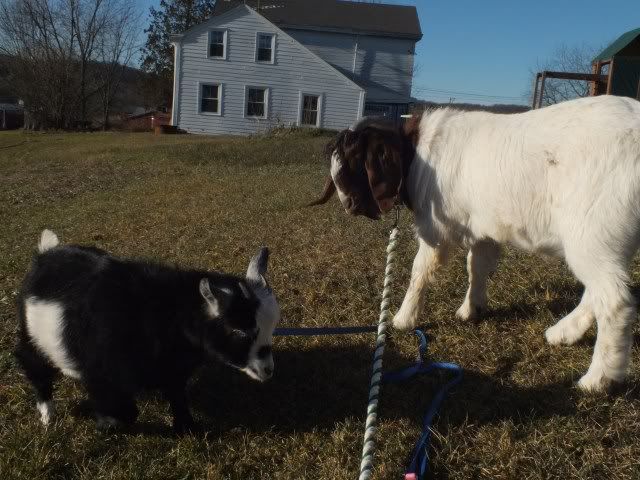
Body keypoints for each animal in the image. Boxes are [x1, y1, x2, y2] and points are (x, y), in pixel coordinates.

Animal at [15, 230, 280, 432]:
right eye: (241, 332)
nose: (267, 371)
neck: (164, 312)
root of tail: (45, 254)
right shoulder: (103, 374)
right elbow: (125, 412)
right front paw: (105, 425)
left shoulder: (172, 368)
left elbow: (177, 397)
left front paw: (188, 429)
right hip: (31, 337)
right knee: (34, 366)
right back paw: (47, 415)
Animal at [309, 95, 640, 392]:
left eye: (354, 162)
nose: (348, 204)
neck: (416, 153)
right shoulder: (485, 230)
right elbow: (477, 267)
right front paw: (471, 309)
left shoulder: (436, 230)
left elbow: (421, 271)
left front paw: (403, 319)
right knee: (599, 292)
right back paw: (563, 333)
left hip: (591, 231)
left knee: (614, 300)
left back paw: (598, 379)